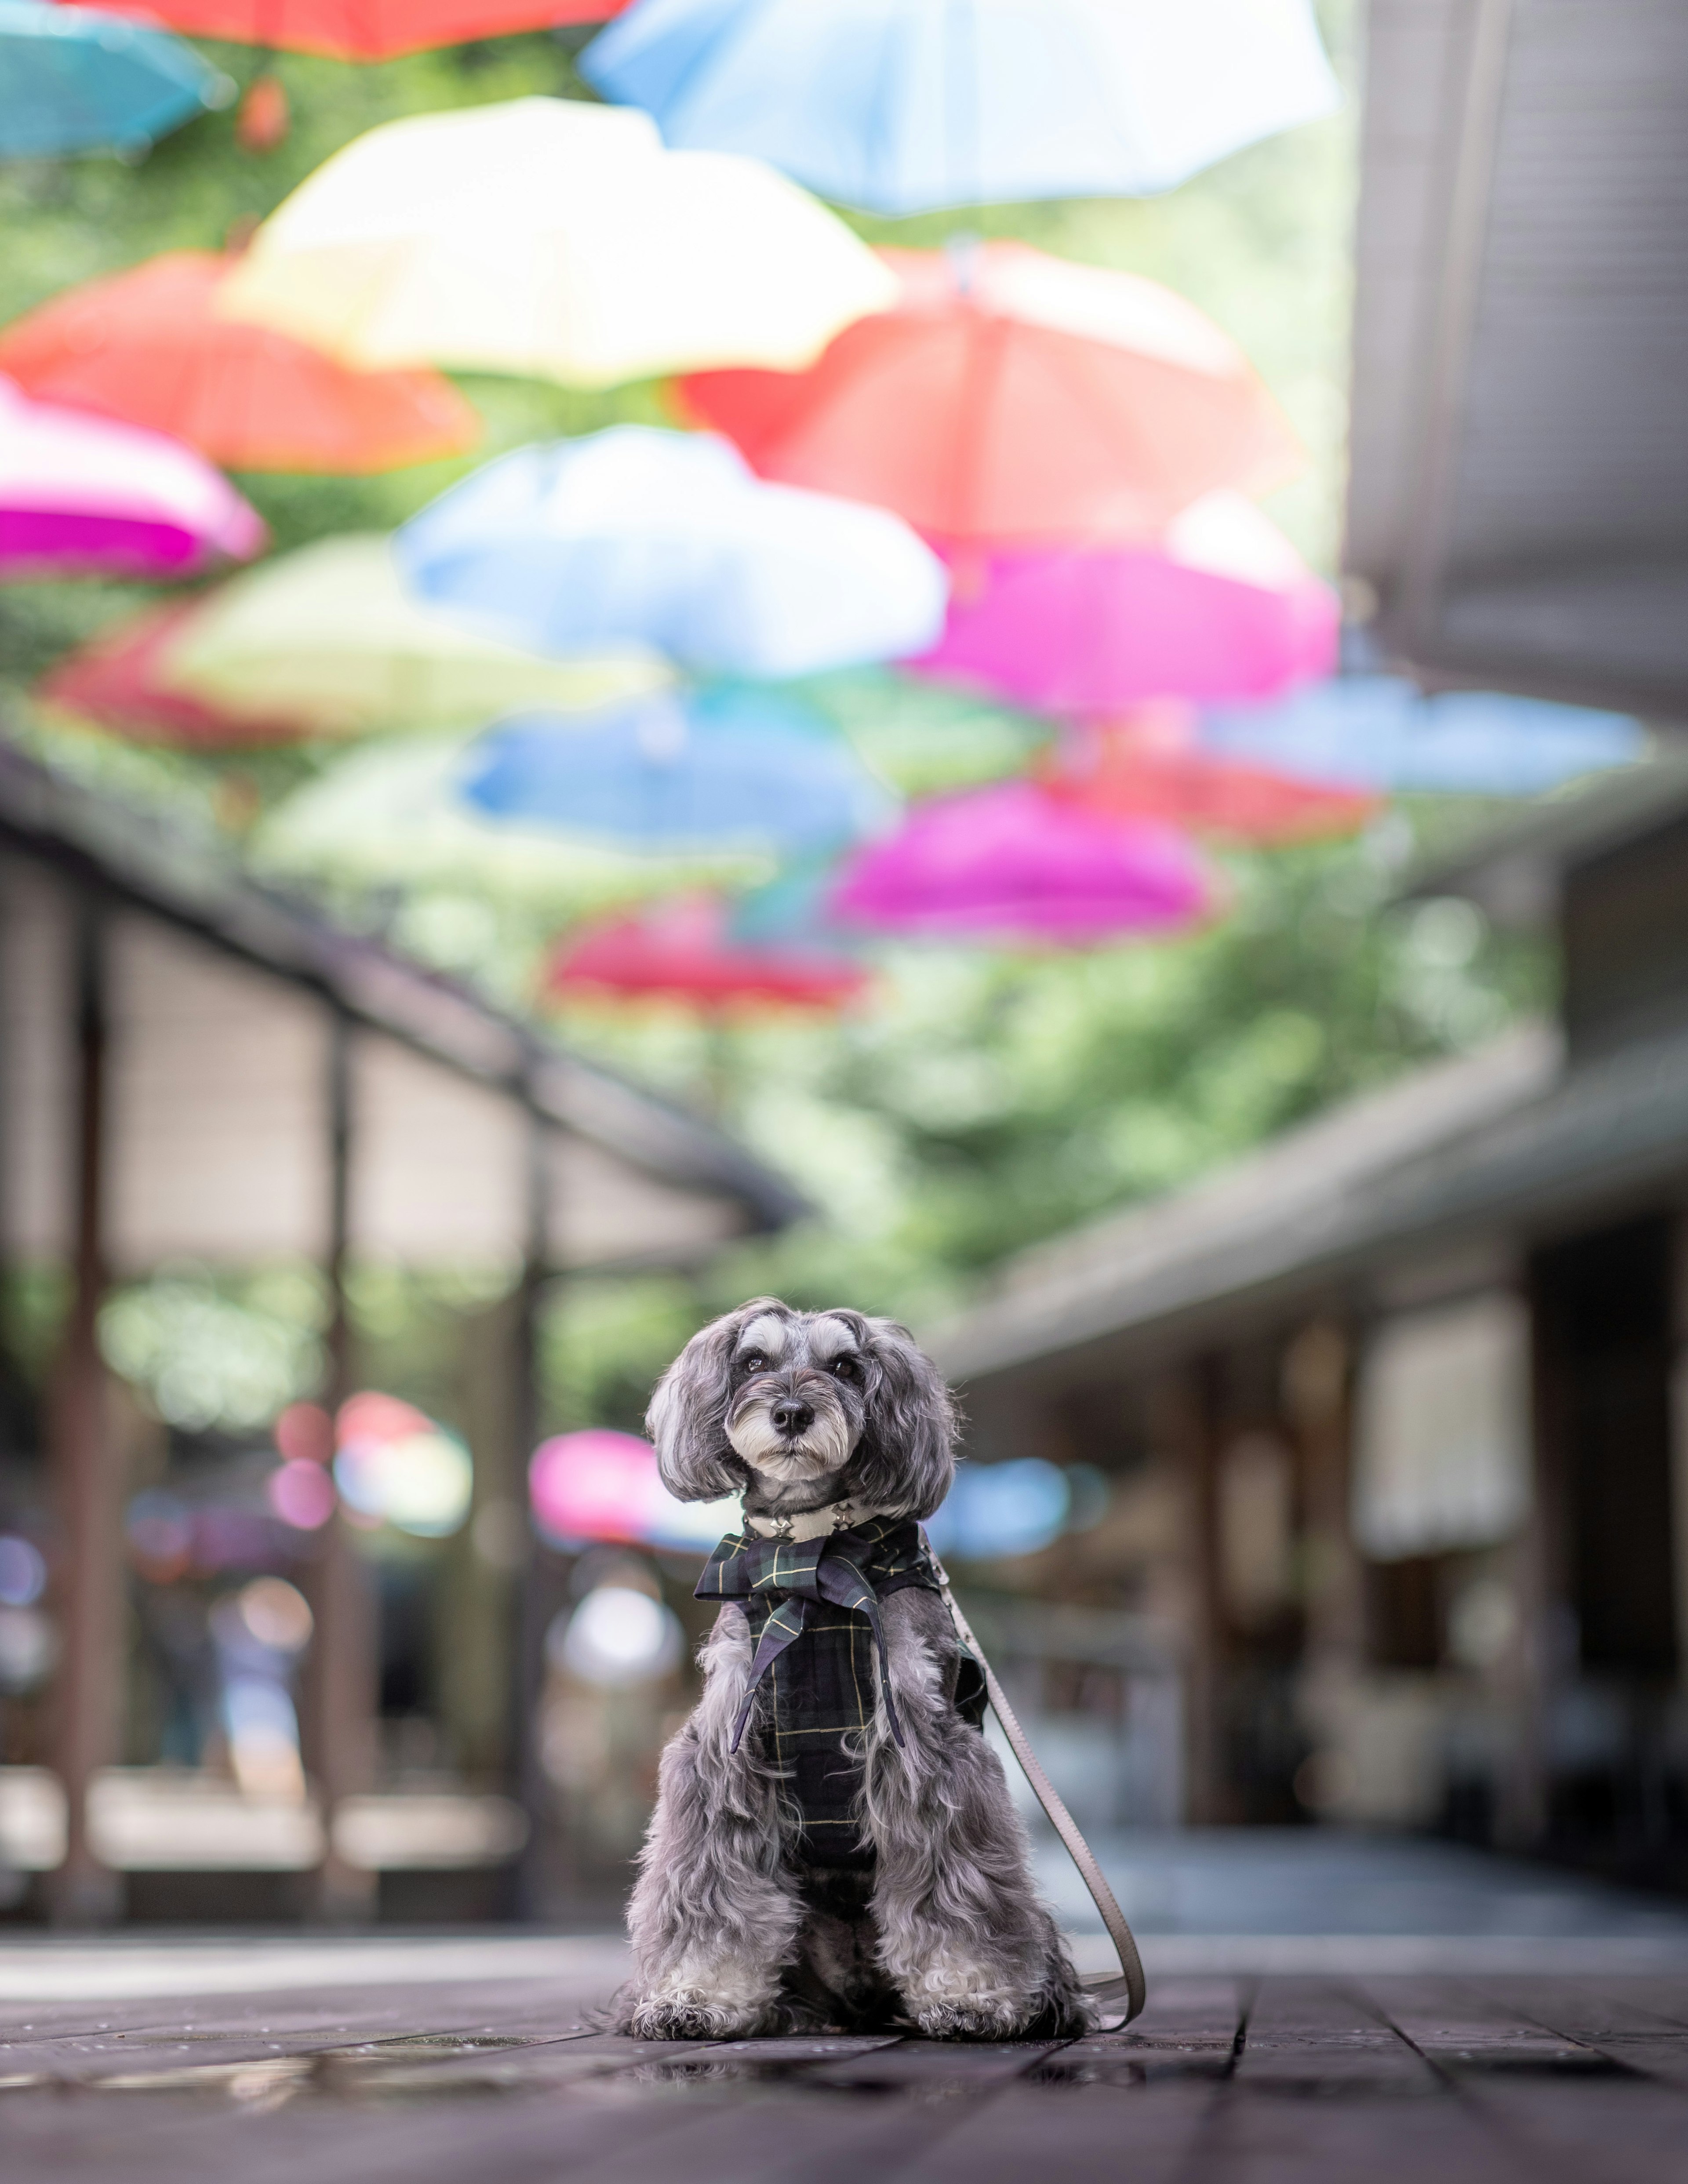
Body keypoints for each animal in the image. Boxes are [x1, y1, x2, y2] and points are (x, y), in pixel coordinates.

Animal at [611, 1284, 1087, 2035]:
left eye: (846, 1366)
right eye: (753, 1361)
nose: (792, 1412)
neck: (808, 1555)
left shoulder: (928, 1749)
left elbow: (953, 1888)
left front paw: (973, 1994)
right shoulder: (722, 1753)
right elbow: (708, 1890)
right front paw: (695, 1995)